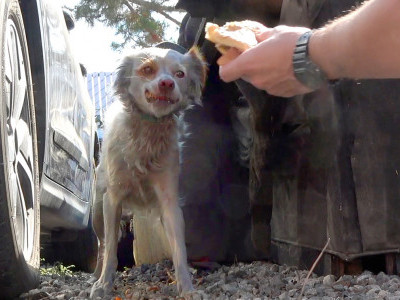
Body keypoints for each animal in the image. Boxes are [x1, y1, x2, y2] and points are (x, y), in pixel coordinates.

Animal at [90, 47, 208, 298]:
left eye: (179, 74)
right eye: (147, 69)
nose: (166, 83)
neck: (147, 130)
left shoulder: (169, 203)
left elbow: (179, 250)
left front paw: (188, 288)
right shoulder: (112, 200)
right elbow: (112, 248)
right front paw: (104, 284)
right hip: (97, 212)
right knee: (103, 245)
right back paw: (96, 276)